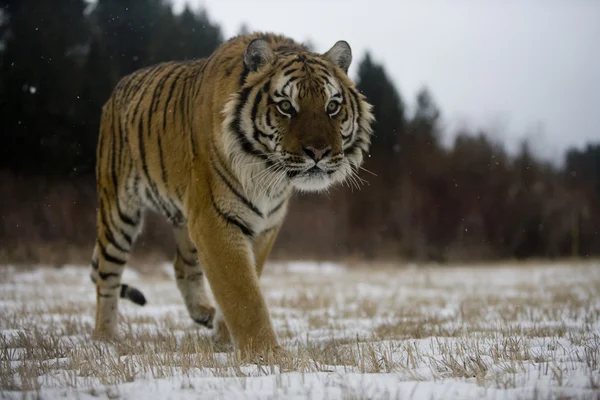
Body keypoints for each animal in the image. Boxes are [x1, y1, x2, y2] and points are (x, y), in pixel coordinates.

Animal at [89, 32, 372, 360]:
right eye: (286, 106)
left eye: (332, 106)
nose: (318, 152)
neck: (268, 177)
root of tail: (117, 89)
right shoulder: (214, 219)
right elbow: (242, 292)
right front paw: (266, 353)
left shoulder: (263, 226)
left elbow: (245, 283)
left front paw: (225, 338)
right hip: (118, 211)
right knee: (107, 276)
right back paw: (106, 338)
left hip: (185, 219)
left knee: (182, 265)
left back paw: (203, 313)